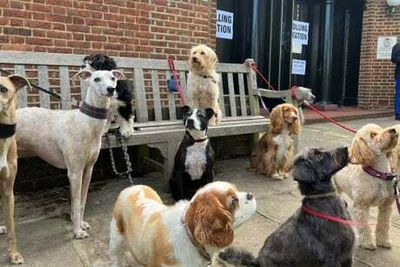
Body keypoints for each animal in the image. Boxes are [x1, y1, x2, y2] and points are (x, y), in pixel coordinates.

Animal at [220, 147, 354, 267]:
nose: (345, 148)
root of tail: (257, 260)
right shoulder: (332, 258)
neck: (323, 199)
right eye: (318, 156)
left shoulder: (347, 257)